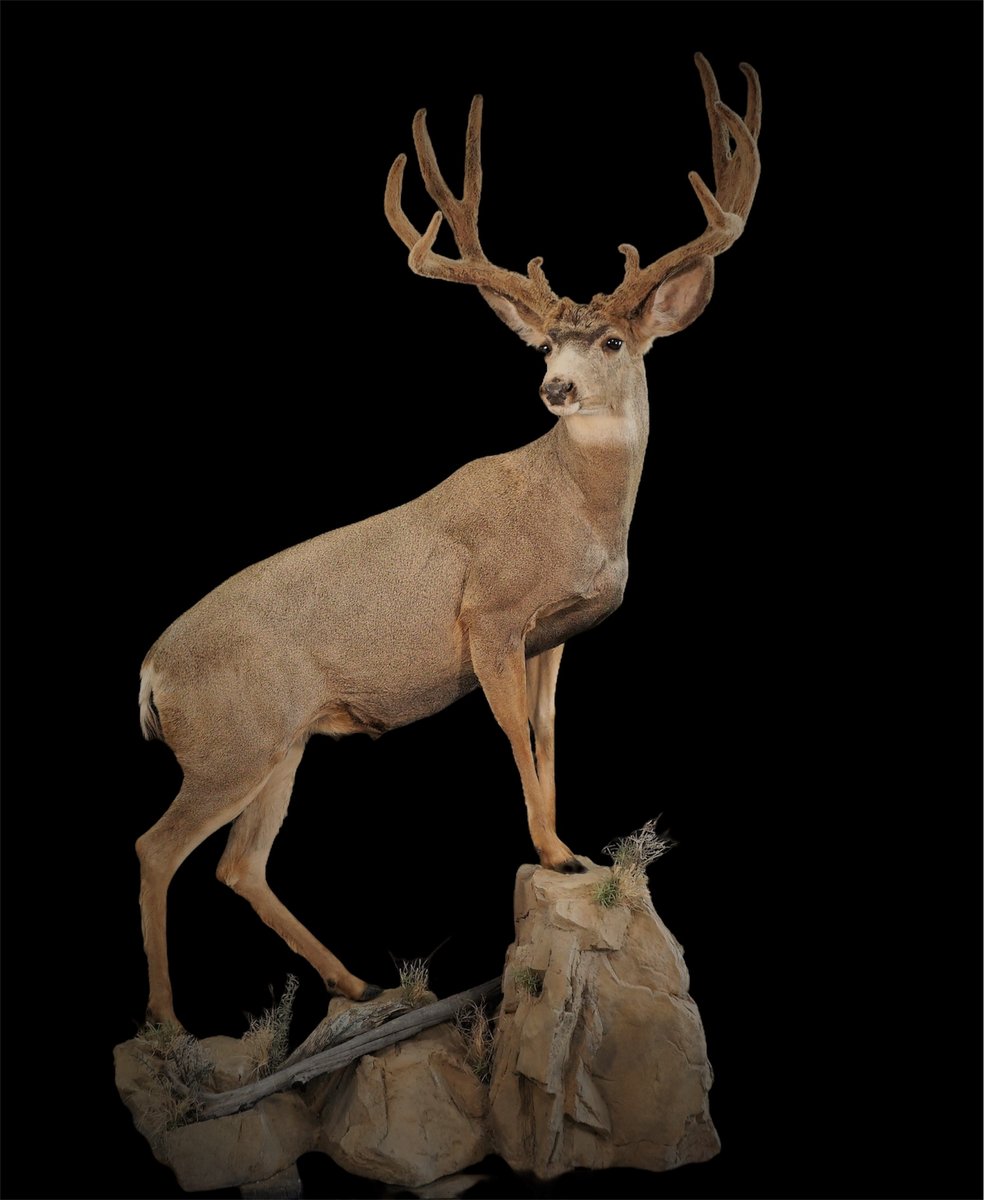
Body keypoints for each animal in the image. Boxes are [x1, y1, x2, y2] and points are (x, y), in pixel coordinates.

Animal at [136, 54, 761, 1029]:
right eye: (543, 345)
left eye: (611, 341)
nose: (554, 388)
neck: (574, 509)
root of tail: (151, 675)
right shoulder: (490, 617)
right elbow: (509, 728)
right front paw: (556, 853)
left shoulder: (552, 637)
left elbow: (548, 727)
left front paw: (566, 844)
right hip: (230, 743)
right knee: (156, 848)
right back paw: (169, 1024)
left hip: (280, 744)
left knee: (239, 863)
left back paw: (359, 984)